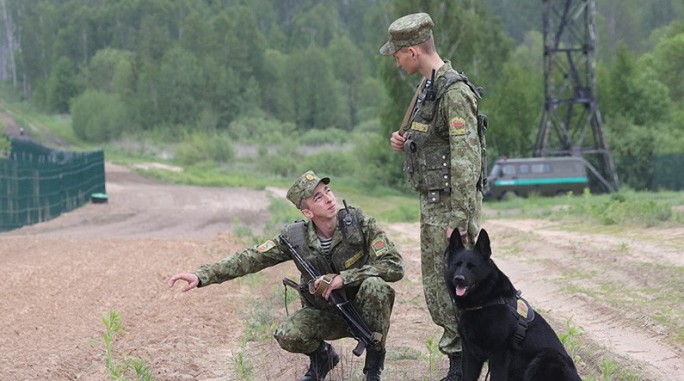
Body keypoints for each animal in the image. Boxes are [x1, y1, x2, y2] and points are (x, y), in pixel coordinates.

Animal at [444, 227, 584, 378]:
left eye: (472, 266)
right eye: (457, 265)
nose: (459, 279)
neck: (486, 302)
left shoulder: (499, 356)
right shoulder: (470, 355)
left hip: (546, 356)